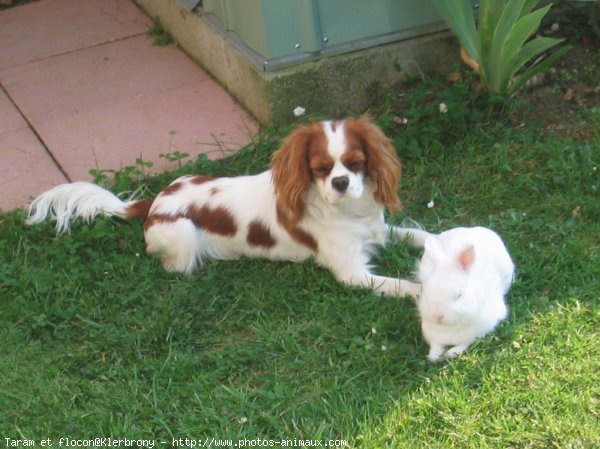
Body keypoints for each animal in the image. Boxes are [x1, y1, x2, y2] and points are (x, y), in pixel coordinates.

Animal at [25, 115, 422, 298]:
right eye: (320, 169)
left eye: (355, 164)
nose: (340, 183)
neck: (347, 211)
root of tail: (156, 199)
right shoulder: (352, 273)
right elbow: (403, 284)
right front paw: (425, 291)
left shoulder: (378, 230)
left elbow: (419, 234)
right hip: (183, 232)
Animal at [396, 228, 512, 360]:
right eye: (425, 291)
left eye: (459, 295)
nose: (438, 315)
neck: (449, 328)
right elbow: (435, 345)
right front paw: (434, 356)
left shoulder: (477, 332)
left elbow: (464, 344)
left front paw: (451, 353)